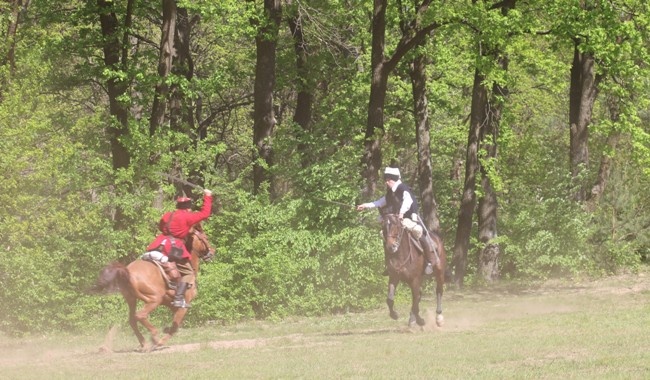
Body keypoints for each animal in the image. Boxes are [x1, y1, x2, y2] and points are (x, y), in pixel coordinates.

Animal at [92, 224, 213, 352]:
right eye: (205, 237)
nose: (212, 252)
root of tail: (127, 271)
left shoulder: (172, 304)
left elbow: (175, 325)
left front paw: (165, 330)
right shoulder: (183, 307)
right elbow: (175, 327)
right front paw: (160, 342)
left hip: (132, 299)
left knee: (132, 320)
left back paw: (143, 344)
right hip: (154, 299)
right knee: (140, 316)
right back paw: (154, 337)